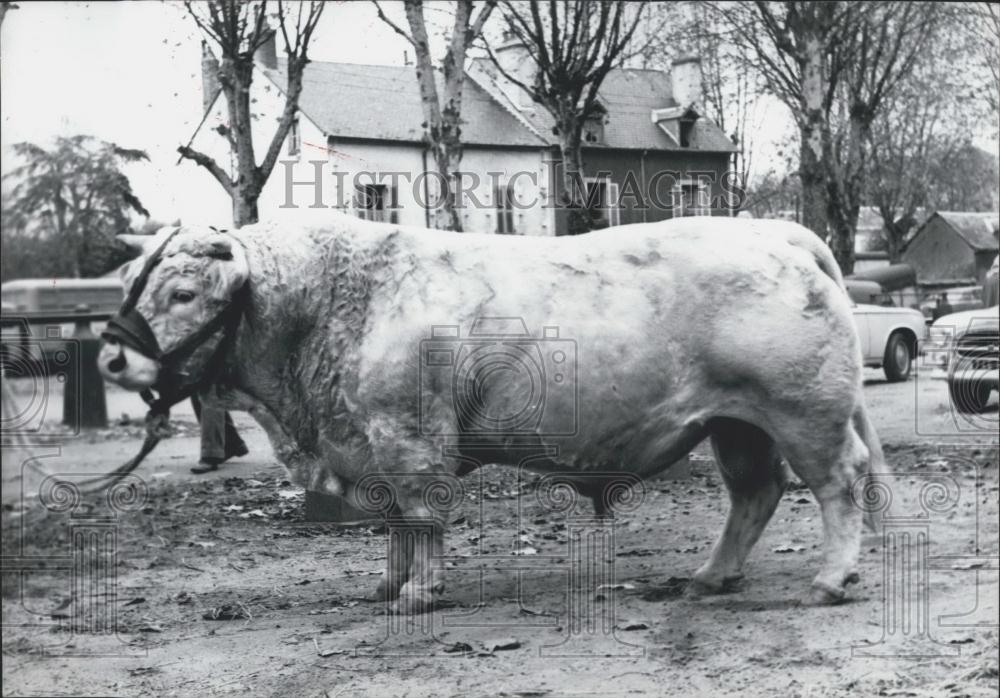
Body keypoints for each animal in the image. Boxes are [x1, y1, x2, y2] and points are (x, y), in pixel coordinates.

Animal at [99, 215, 884, 612]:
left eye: (182, 294)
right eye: (131, 279)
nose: (109, 359)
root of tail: (778, 233)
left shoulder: (408, 440)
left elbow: (421, 519)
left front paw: (420, 591)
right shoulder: (370, 448)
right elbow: (393, 526)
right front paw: (388, 582)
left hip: (802, 412)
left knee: (838, 483)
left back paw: (831, 578)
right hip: (735, 423)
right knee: (756, 492)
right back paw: (711, 576)